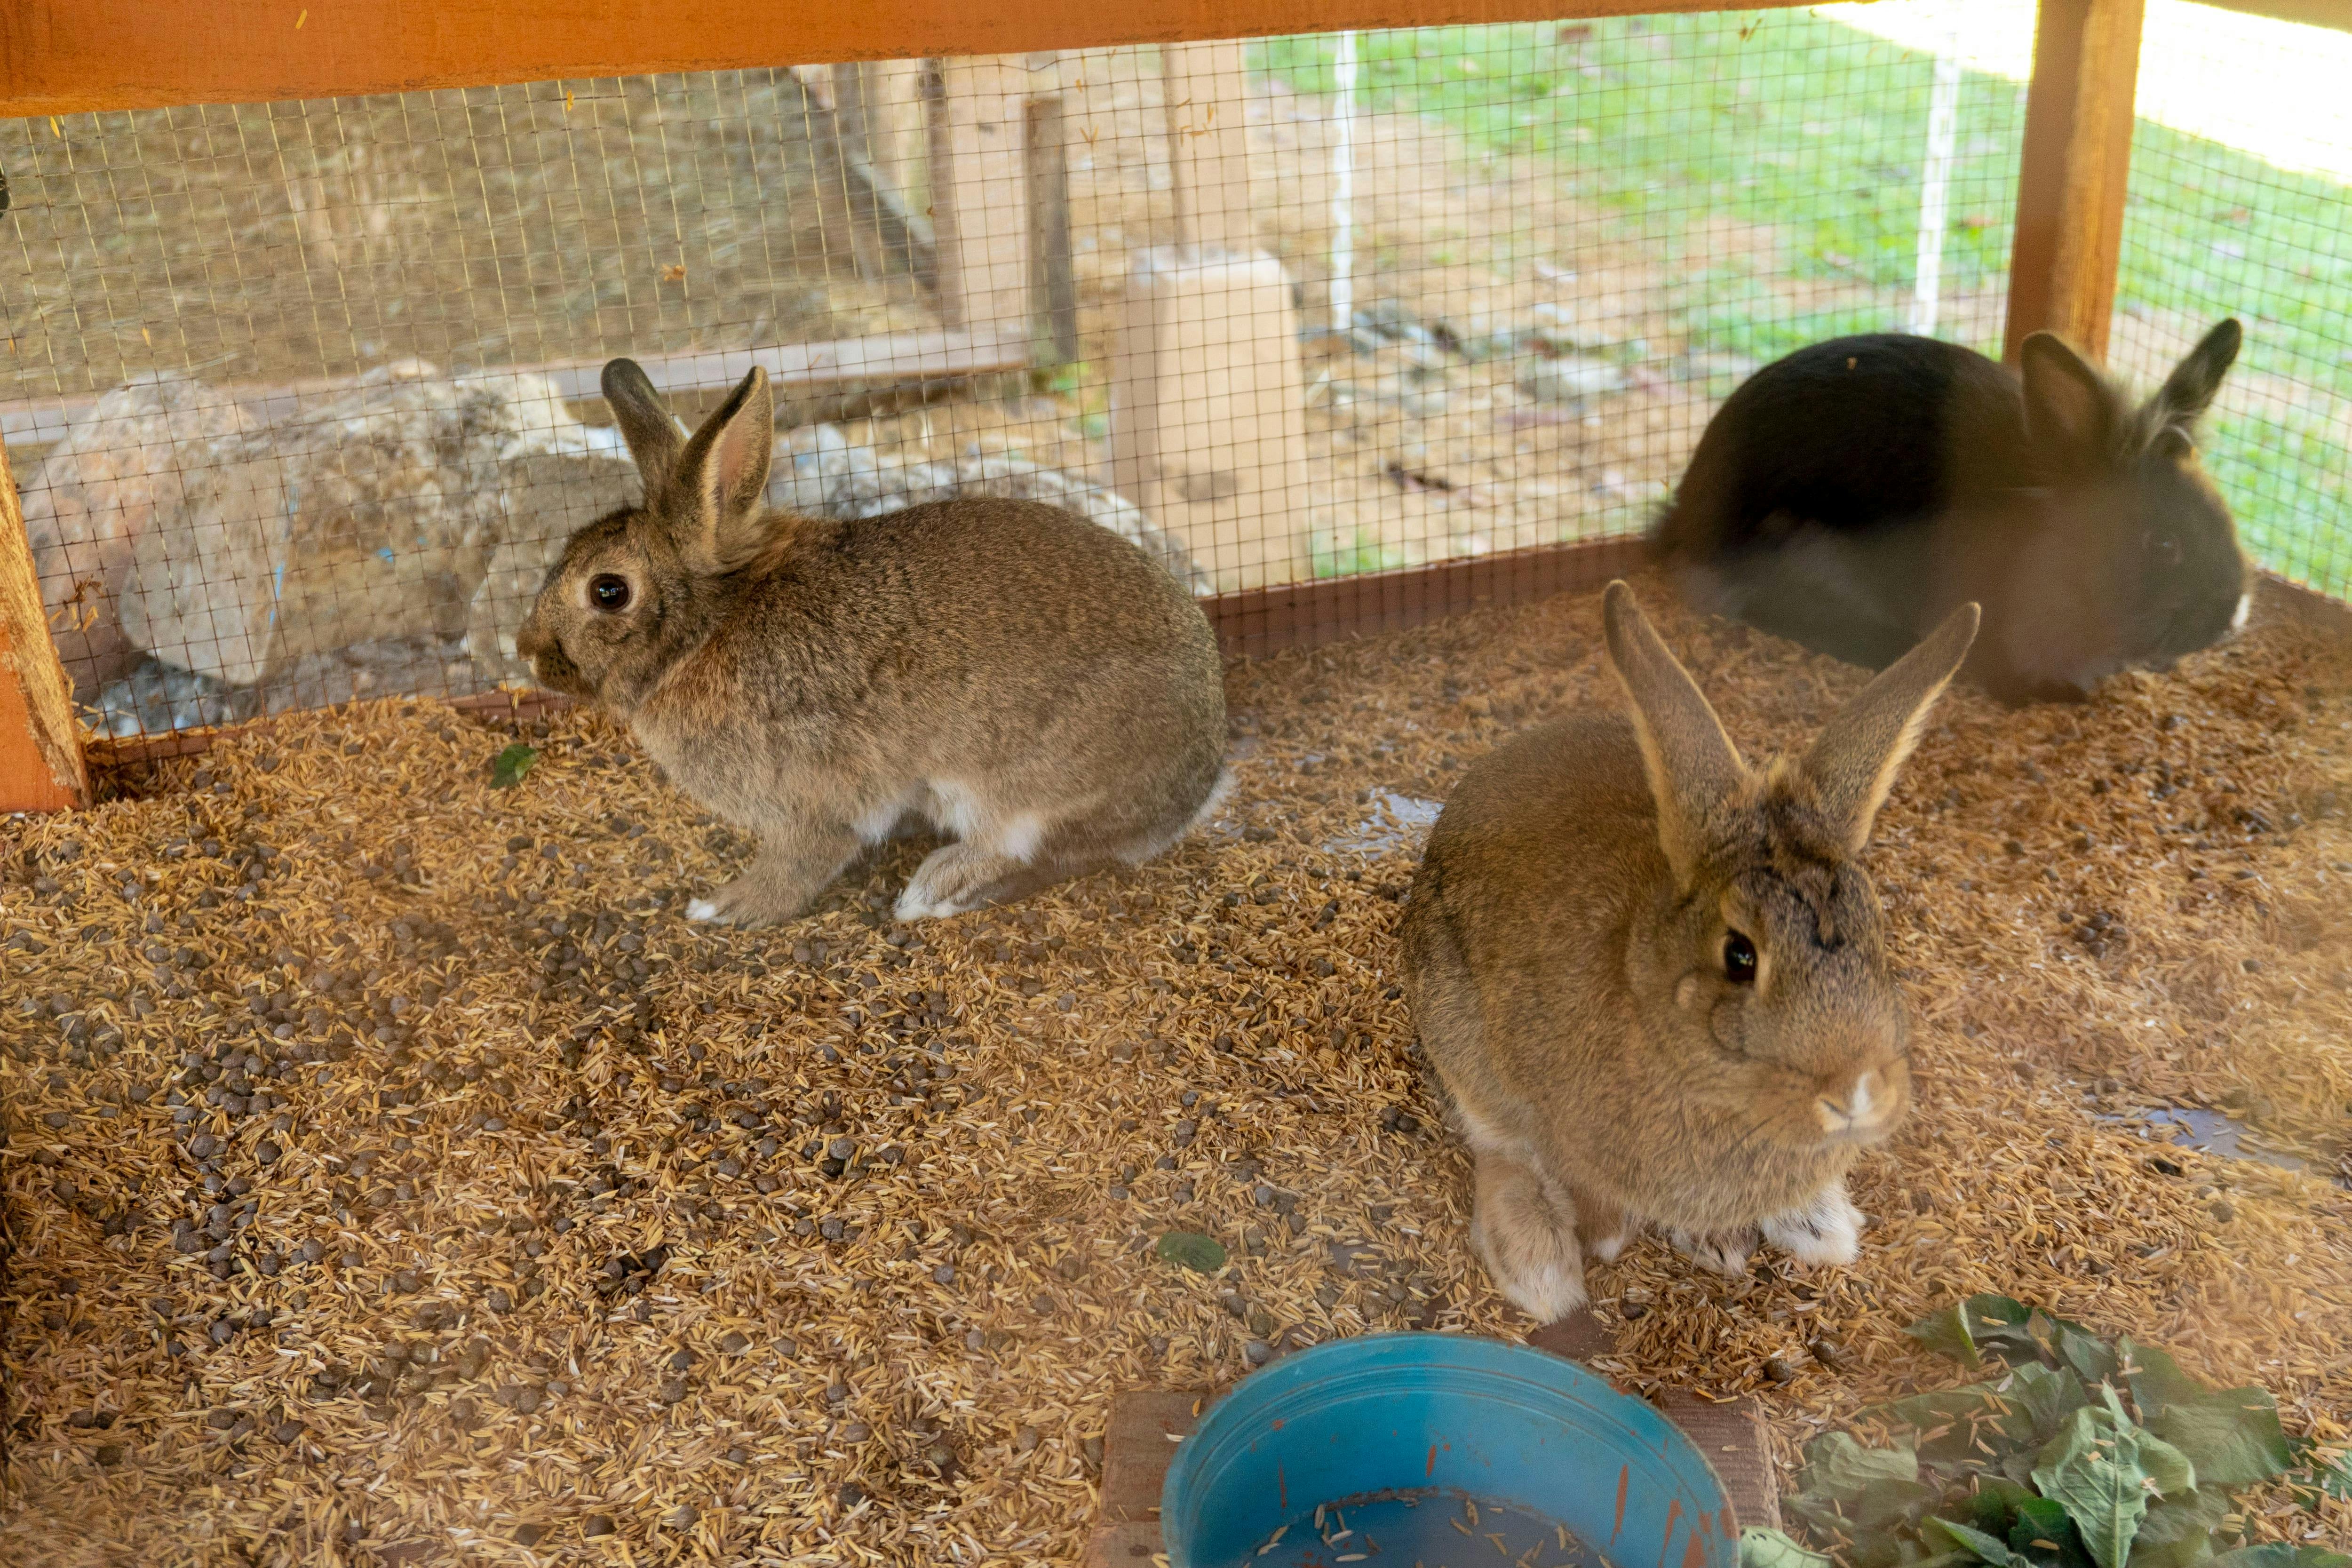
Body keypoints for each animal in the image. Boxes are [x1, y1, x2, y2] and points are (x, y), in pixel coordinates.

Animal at [517, 362, 1232, 926]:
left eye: (609, 591)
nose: (526, 651)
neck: (709, 629)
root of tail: (1198, 783)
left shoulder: (811, 805)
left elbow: (800, 864)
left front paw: (724, 908)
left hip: (1024, 790)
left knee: (1038, 852)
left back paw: (934, 892)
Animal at [1402, 583, 1976, 1316]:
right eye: (1740, 956)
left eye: (1877, 928)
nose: (1854, 1093)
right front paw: (1600, 1242)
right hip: (1453, 1019)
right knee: (1494, 1141)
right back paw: (1539, 1267)